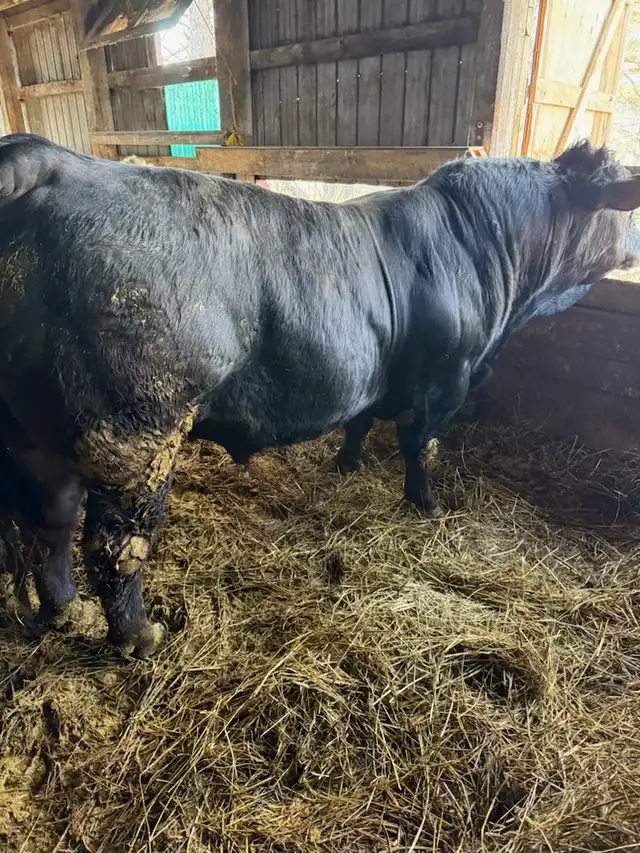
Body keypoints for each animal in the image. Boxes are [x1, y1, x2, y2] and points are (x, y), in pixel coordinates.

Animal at [0, 133, 638, 657]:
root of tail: (51, 161)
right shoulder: (448, 378)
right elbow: (420, 444)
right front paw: (426, 504)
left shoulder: (377, 376)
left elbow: (361, 419)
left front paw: (348, 463)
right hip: (135, 432)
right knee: (114, 542)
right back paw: (137, 636)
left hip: (39, 438)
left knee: (49, 523)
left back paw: (62, 610)